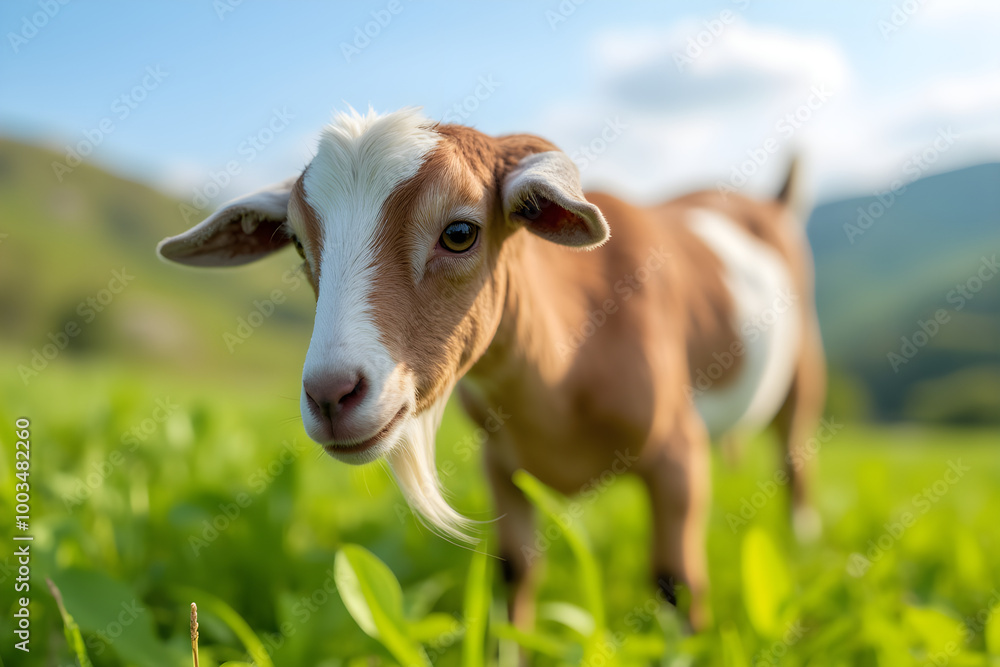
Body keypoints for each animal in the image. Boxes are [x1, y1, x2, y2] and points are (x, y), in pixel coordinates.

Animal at [158, 107, 825, 629]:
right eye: (298, 244)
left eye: (459, 232)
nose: (330, 395)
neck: (564, 371)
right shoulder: (502, 465)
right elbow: (516, 574)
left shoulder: (678, 454)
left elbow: (675, 582)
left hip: (803, 373)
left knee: (795, 459)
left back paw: (803, 543)